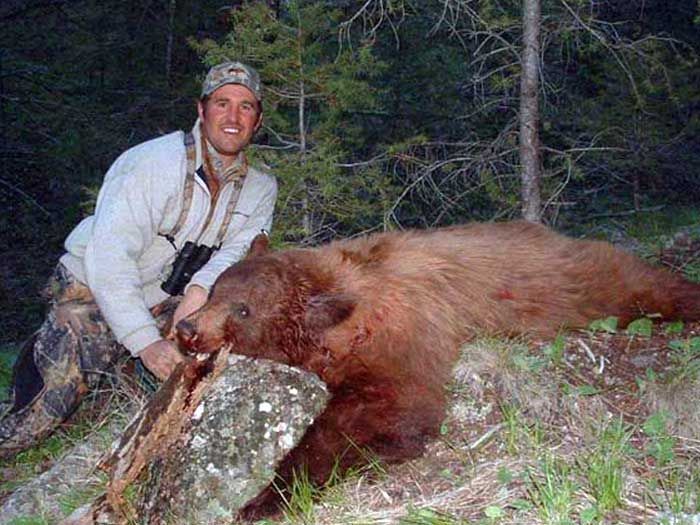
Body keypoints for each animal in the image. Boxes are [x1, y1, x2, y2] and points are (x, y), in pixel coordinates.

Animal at [176, 220, 700, 519]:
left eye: (243, 309)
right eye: (216, 291)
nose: (187, 328)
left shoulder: (402, 334)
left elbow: (383, 413)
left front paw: (266, 495)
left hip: (583, 280)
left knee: (643, 285)